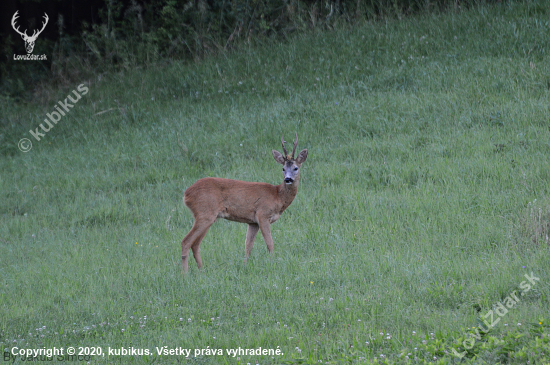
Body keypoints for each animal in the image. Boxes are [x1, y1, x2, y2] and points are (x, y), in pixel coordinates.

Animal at [182, 132, 308, 272]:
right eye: (283, 168)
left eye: (296, 168)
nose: (288, 179)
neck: (277, 196)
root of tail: (186, 194)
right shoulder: (262, 215)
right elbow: (270, 243)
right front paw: (273, 264)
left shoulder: (253, 222)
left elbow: (248, 246)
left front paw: (244, 266)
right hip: (205, 213)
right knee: (186, 241)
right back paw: (185, 273)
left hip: (206, 216)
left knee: (195, 244)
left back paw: (201, 270)